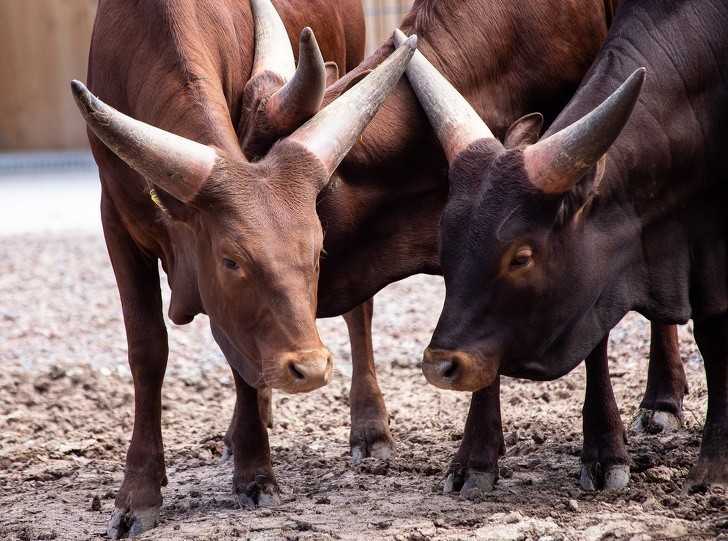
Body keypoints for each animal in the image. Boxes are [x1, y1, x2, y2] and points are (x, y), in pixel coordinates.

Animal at [74, 0, 416, 536]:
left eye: (318, 251)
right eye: (231, 259)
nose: (309, 367)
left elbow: (238, 354)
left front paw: (256, 474)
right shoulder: (116, 221)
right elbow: (147, 350)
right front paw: (137, 494)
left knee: (358, 313)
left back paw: (367, 427)